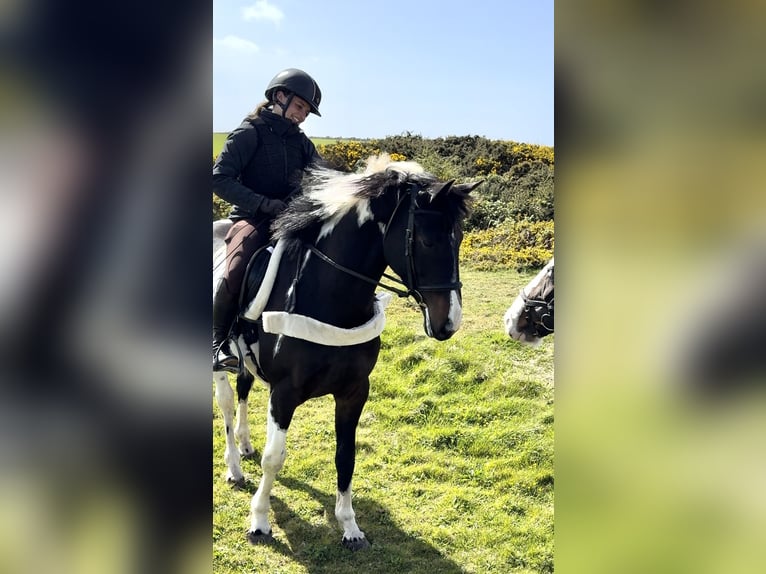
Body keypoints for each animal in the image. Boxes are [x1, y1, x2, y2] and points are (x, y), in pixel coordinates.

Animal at [213, 154, 479, 550]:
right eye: (427, 241)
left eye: (458, 238)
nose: (449, 322)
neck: (326, 294)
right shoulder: (284, 393)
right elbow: (274, 458)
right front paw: (259, 521)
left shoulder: (354, 392)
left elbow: (346, 457)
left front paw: (349, 526)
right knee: (228, 404)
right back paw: (234, 466)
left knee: (243, 393)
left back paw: (244, 446)